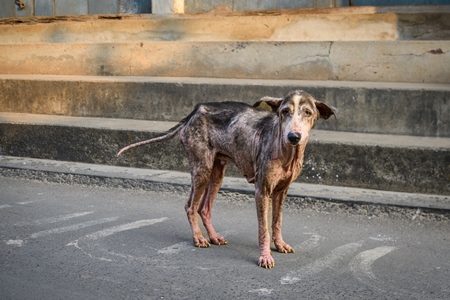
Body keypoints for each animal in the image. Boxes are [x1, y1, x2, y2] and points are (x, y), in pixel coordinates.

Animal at [118, 90, 336, 268]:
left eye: (307, 112)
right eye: (285, 112)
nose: (293, 136)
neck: (286, 150)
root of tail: (195, 112)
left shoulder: (281, 191)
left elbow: (277, 222)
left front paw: (279, 243)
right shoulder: (262, 191)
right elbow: (263, 229)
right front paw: (265, 256)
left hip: (216, 174)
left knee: (204, 209)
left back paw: (213, 237)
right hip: (202, 170)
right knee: (190, 207)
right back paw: (199, 238)